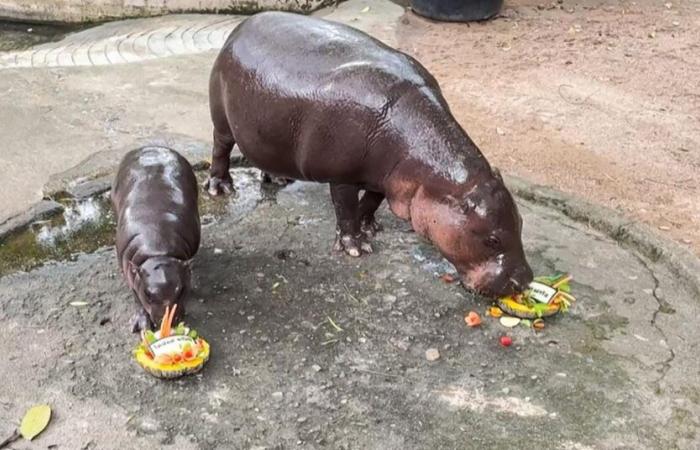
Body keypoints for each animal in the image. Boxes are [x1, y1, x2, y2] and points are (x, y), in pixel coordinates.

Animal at [111, 147, 200, 330]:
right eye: (148, 294)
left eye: (181, 290)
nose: (167, 322)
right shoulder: (131, 271)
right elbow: (135, 296)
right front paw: (141, 325)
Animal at [205, 12, 532, 298]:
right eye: (492, 239)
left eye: (521, 223)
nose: (525, 281)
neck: (432, 172)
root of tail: (241, 27)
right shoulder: (342, 176)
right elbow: (346, 208)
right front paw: (356, 247)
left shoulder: (386, 177)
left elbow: (372, 201)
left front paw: (370, 228)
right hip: (221, 120)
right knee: (221, 148)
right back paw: (220, 188)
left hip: (266, 130)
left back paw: (278, 178)